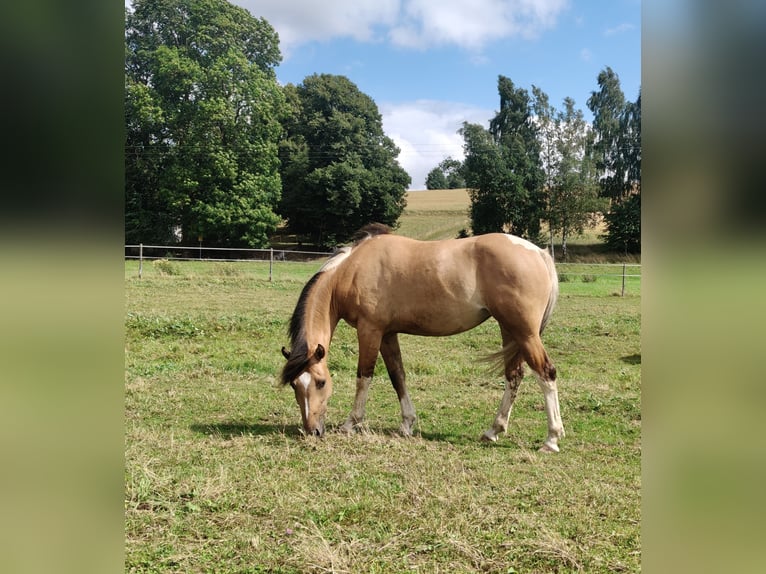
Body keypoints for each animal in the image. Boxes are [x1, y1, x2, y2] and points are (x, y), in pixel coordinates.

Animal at [280, 223, 565, 452]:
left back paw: (551, 439)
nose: (312, 431)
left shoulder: (370, 330)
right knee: (514, 376)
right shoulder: (387, 334)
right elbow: (398, 376)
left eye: (321, 383)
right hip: (509, 330)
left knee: (546, 373)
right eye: (295, 385)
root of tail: (538, 253)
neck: (351, 270)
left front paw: (351, 423)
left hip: (525, 333)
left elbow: (364, 377)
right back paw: (493, 431)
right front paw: (407, 424)